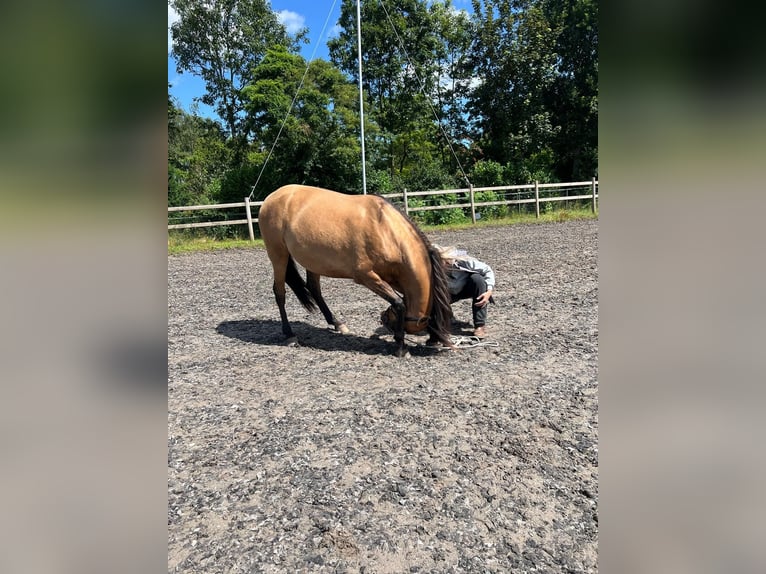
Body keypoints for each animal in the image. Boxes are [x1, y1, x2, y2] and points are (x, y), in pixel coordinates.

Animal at [258, 186, 456, 356]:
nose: (383, 318)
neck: (386, 230)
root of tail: (272, 197)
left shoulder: (394, 278)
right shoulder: (366, 276)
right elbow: (399, 304)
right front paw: (401, 347)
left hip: (313, 261)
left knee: (314, 289)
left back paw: (337, 323)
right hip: (278, 255)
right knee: (279, 292)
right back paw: (289, 334)